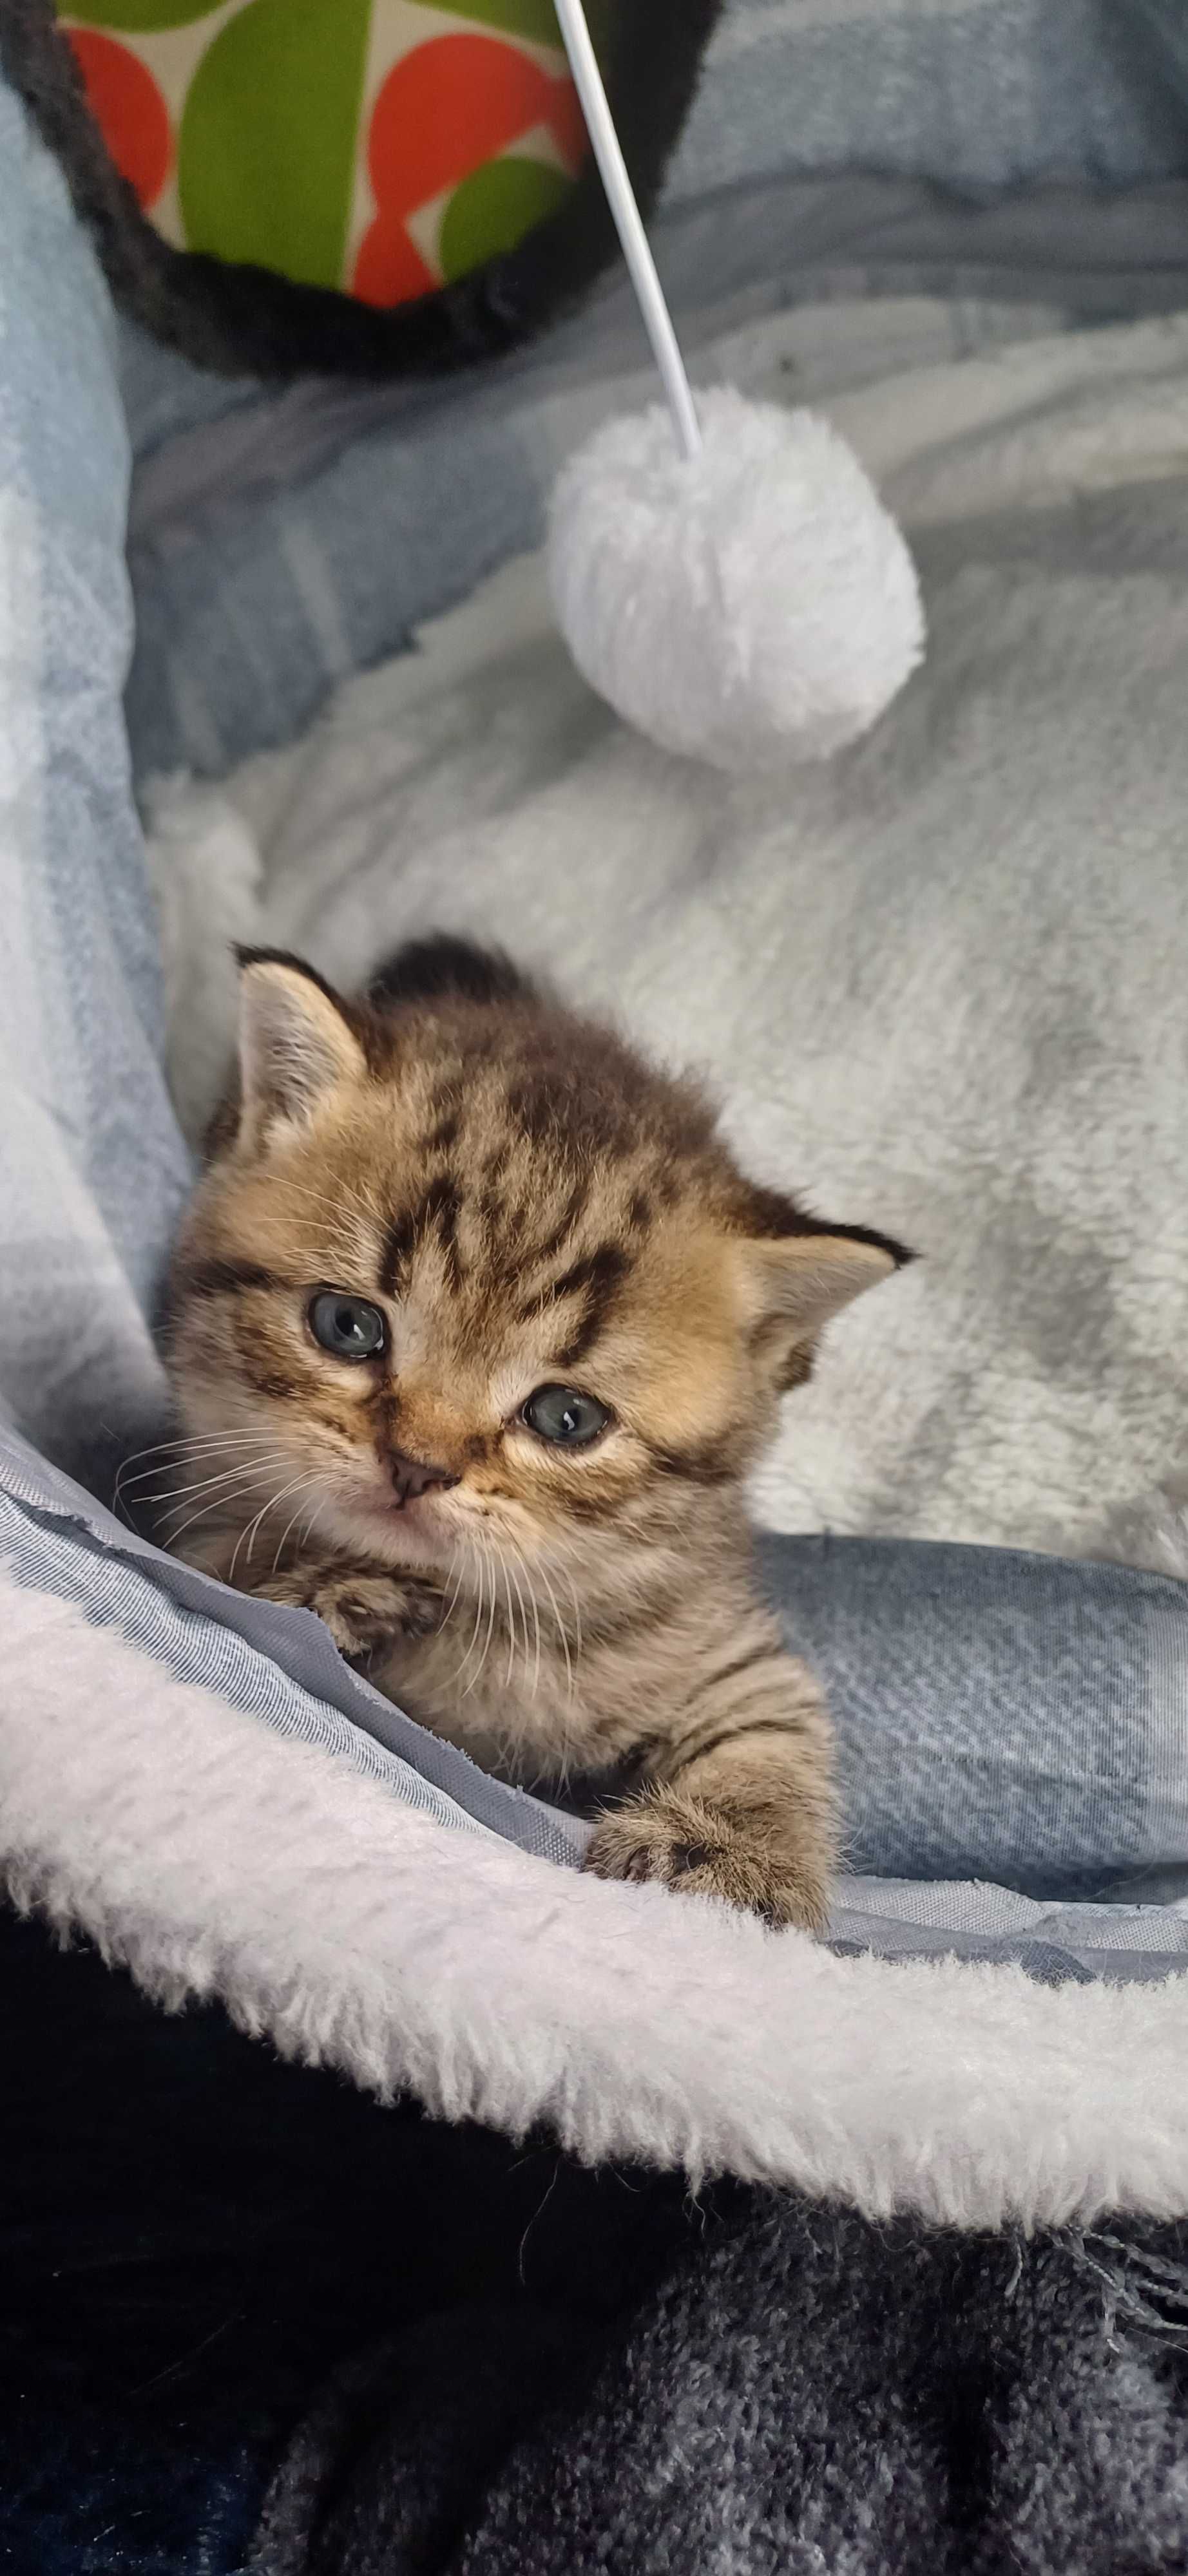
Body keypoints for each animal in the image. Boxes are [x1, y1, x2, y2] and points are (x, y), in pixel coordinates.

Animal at [160, 938, 907, 1927]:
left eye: (566, 1418)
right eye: (347, 1326)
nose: (417, 1467)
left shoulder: (721, 1639)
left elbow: (773, 1730)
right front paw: (340, 1587)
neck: (489, 1617)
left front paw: (734, 1855)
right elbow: (248, 1580)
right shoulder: (195, 1517)